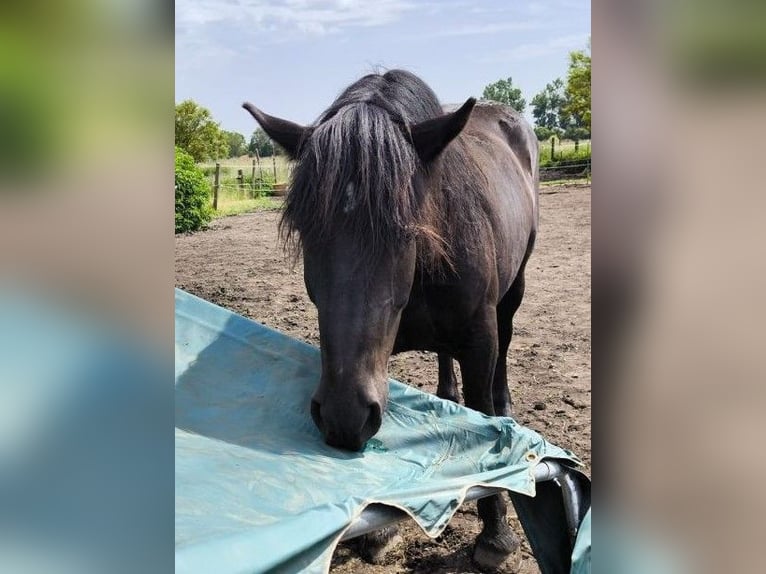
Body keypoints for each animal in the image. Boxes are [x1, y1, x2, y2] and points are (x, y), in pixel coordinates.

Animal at [244, 68, 540, 572]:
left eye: (405, 231)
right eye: (306, 231)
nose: (341, 417)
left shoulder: (480, 342)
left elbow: (486, 422)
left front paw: (496, 533)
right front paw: (382, 531)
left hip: (513, 290)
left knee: (504, 354)